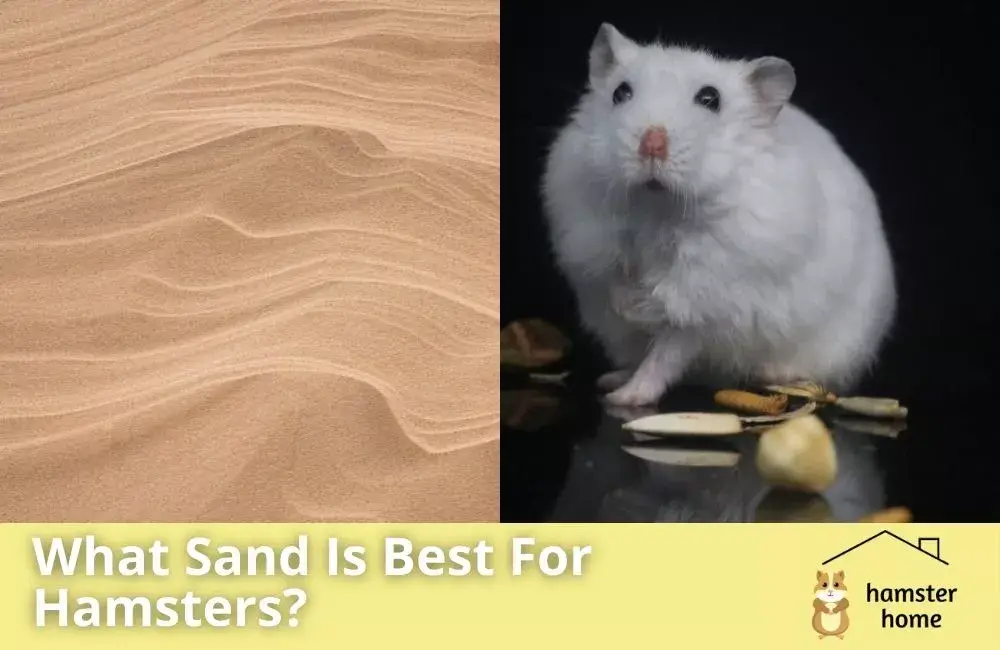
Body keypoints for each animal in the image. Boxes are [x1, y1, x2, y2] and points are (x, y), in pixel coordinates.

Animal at [541, 23, 897, 406]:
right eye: (621, 92)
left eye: (710, 99)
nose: (651, 144)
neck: (658, 208)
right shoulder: (593, 242)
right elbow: (616, 280)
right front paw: (628, 309)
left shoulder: (705, 300)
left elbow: (668, 347)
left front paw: (627, 396)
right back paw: (611, 379)